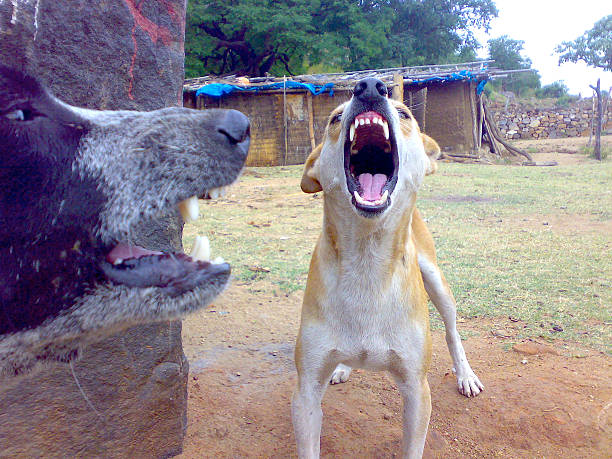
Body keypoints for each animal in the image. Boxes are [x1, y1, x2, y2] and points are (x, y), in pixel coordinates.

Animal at [292, 77, 482, 458]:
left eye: (405, 114)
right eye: (335, 118)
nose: (368, 86)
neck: (368, 264)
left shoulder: (416, 389)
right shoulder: (306, 392)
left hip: (436, 281)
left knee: (452, 331)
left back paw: (465, 375)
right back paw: (344, 367)